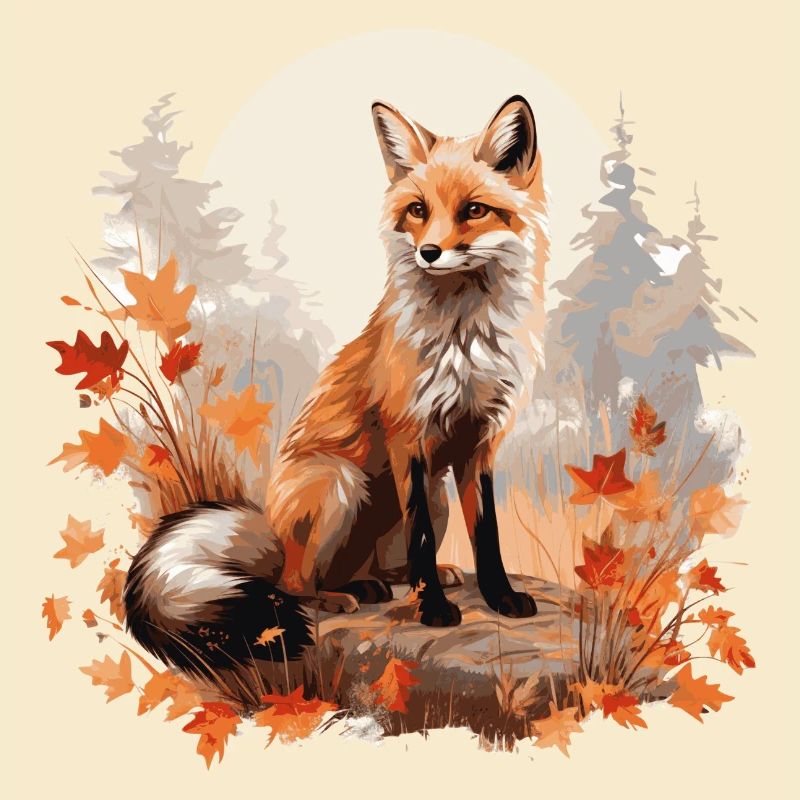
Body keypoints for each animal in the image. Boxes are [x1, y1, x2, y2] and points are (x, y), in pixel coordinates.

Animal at [124, 95, 549, 689]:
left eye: (474, 210)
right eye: (418, 210)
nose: (429, 252)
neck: (464, 340)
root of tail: (270, 528)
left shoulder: (481, 441)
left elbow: (486, 538)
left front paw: (501, 598)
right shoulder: (408, 435)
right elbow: (421, 537)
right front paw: (433, 612)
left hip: (433, 493)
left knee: (389, 567)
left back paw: (391, 581)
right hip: (338, 481)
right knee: (294, 585)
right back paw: (343, 595)